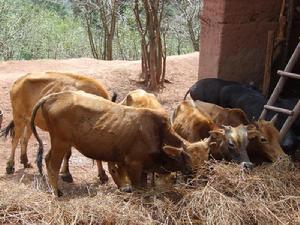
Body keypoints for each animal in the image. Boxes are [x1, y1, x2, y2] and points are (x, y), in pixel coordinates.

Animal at [29, 90, 213, 196]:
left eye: (206, 160)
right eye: (188, 161)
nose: (201, 182)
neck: (157, 132)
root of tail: (54, 96)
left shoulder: (144, 168)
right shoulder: (134, 164)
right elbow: (139, 187)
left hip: (59, 143)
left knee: (47, 160)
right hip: (61, 143)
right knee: (52, 164)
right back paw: (56, 192)